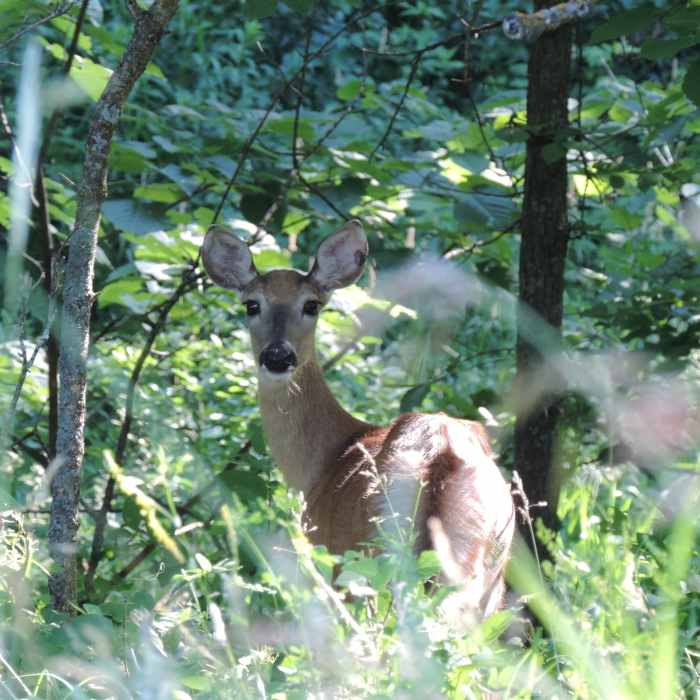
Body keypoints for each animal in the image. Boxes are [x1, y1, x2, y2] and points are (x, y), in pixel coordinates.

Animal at [201, 220, 514, 618]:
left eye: (312, 304)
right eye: (251, 304)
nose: (277, 356)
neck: (324, 460)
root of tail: (441, 451)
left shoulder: (323, 553)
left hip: (368, 559)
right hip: (490, 568)